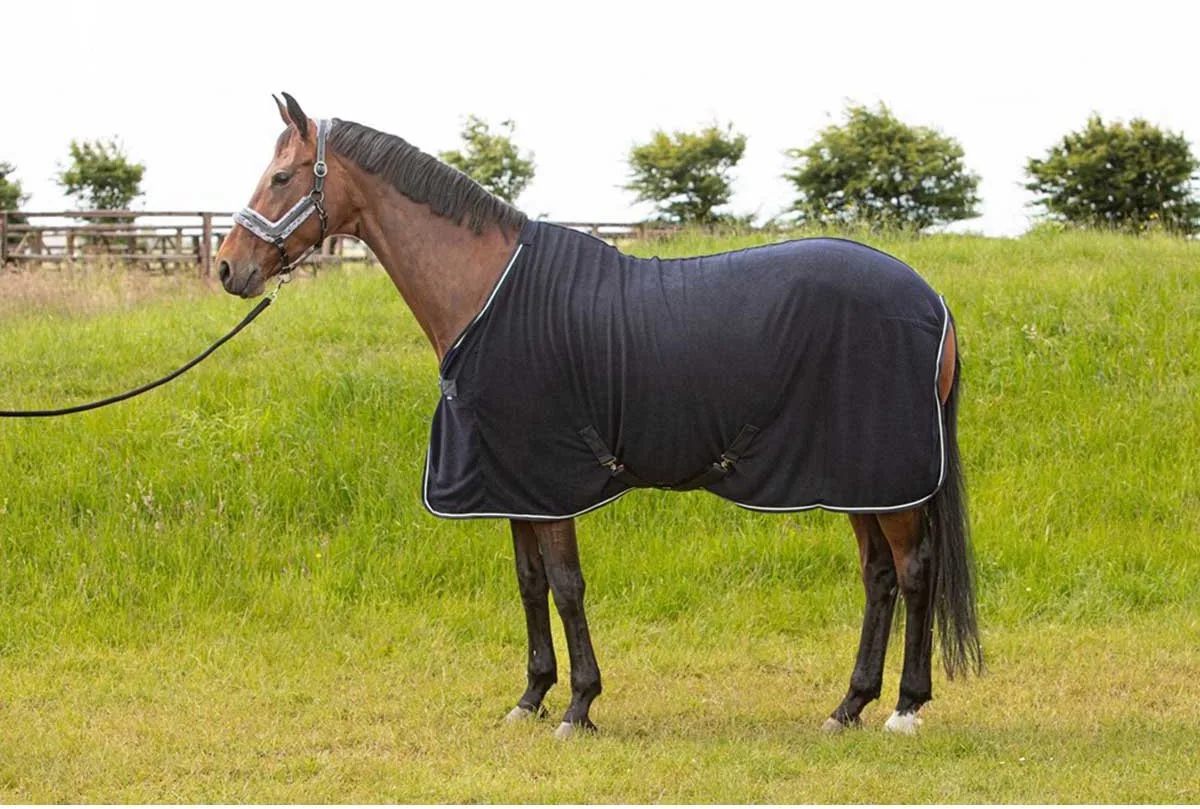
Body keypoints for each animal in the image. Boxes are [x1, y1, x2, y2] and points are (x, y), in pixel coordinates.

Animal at [216, 93, 982, 739]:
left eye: (281, 178)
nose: (227, 268)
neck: (487, 292)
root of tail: (934, 302)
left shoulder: (551, 483)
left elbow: (566, 586)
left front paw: (579, 705)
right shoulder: (514, 483)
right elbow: (530, 585)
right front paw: (530, 697)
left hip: (885, 478)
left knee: (914, 570)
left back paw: (905, 708)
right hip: (856, 478)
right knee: (879, 577)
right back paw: (848, 705)